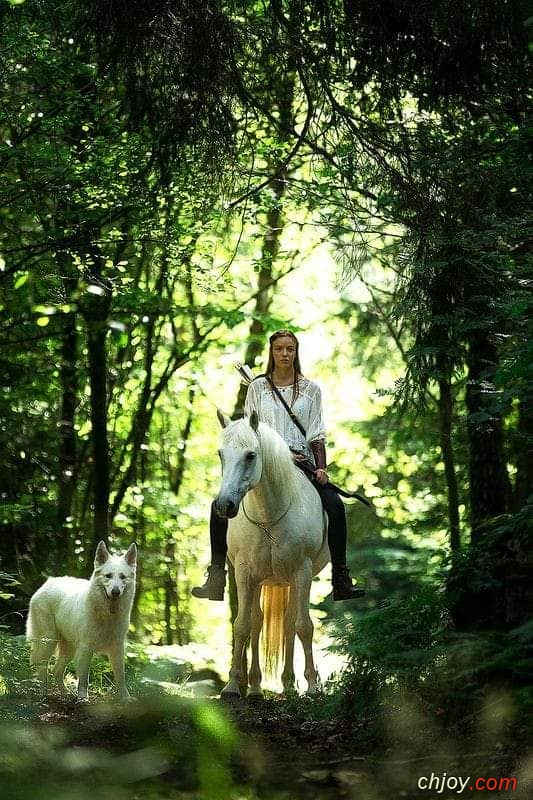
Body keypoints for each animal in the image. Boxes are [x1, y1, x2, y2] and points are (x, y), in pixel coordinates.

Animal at [27, 536, 137, 700]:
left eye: (122, 577)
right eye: (108, 576)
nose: (115, 592)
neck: (106, 615)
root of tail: (48, 582)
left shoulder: (117, 649)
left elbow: (121, 677)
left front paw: (125, 698)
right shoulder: (86, 648)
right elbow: (84, 678)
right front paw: (83, 698)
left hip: (69, 648)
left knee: (56, 670)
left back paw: (65, 693)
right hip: (48, 641)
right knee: (42, 668)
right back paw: (43, 693)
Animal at [212, 410, 328, 696]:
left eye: (250, 455)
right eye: (221, 454)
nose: (224, 505)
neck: (269, 516)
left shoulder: (302, 573)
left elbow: (304, 626)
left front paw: (312, 686)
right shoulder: (244, 573)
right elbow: (242, 625)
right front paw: (232, 685)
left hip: (290, 581)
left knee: (289, 622)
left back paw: (288, 685)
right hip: (260, 581)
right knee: (257, 621)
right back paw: (254, 686)